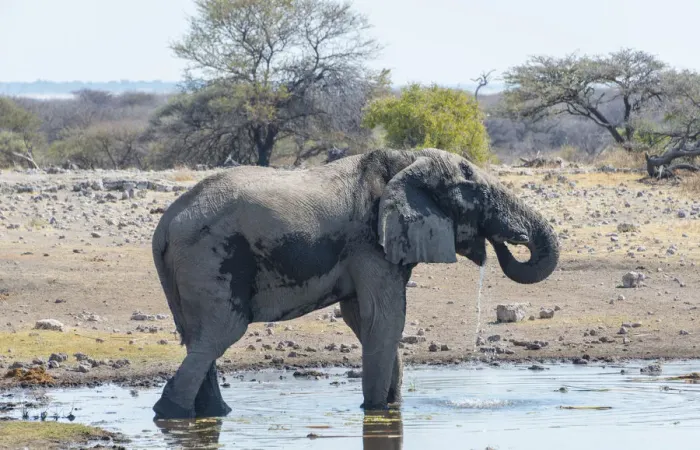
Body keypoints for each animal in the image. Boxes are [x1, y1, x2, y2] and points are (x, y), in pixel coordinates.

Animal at [150, 147, 559, 420]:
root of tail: (165, 225)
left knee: (198, 337)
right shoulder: (369, 241)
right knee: (221, 331)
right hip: (209, 258)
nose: (505, 243)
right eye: (477, 194)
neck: (405, 161)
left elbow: (363, 318)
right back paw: (172, 413)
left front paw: (392, 405)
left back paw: (212, 413)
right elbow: (385, 319)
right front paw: (376, 409)